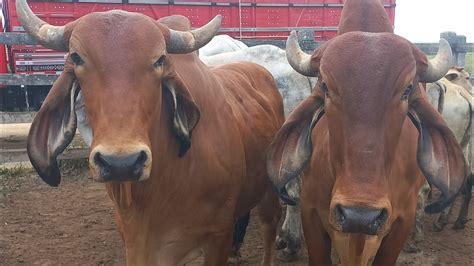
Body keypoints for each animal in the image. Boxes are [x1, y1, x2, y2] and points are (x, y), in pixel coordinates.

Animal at [18, 0, 284, 264]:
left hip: (269, 192)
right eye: (76, 57)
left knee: (269, 227)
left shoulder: (219, 234)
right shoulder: (133, 239)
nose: (121, 162)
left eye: (159, 60)